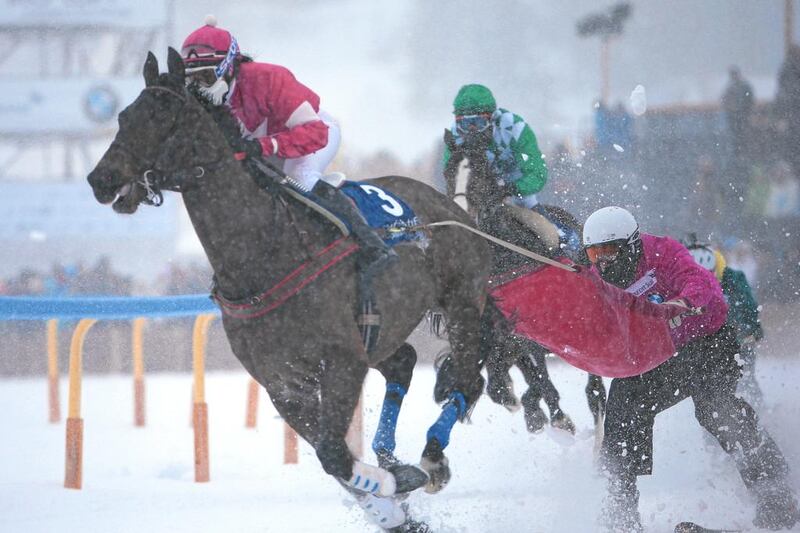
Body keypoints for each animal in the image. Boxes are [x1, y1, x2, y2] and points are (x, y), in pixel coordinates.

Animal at [86, 48, 488, 528]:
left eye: (162, 115)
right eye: (124, 115)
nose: (101, 179)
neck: (264, 254)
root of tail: (450, 205)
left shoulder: (342, 361)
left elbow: (334, 454)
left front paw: (401, 484)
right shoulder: (282, 383)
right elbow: (333, 460)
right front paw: (393, 510)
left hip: (463, 302)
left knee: (467, 377)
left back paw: (431, 458)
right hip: (383, 332)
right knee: (406, 362)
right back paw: (393, 457)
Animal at [444, 132, 608, 432]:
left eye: (480, 172)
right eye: (448, 172)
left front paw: (557, 418)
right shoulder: (505, 335)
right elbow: (505, 382)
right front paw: (527, 407)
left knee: (594, 388)